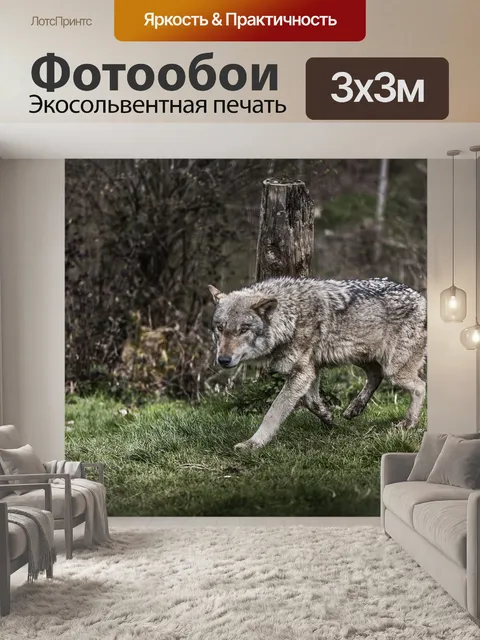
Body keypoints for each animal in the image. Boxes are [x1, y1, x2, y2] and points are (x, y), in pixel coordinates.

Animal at [208, 277, 426, 450]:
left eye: (243, 329)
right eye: (220, 328)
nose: (223, 359)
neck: (291, 317)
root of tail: (422, 298)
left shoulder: (302, 372)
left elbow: (273, 412)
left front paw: (253, 444)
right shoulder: (310, 370)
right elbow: (310, 401)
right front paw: (328, 417)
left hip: (394, 371)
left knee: (420, 386)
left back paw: (408, 423)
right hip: (360, 358)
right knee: (375, 376)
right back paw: (354, 408)